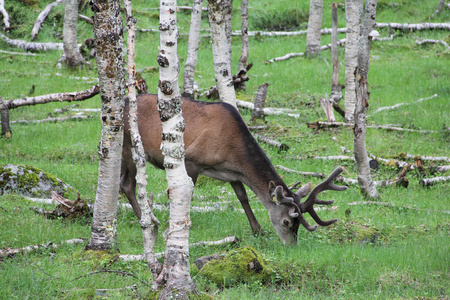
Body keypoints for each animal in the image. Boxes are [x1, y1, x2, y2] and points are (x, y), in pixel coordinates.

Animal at [120, 94, 348, 246]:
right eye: (286, 221)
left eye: (298, 224)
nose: (291, 245)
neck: (231, 150)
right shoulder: (192, 160)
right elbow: (186, 195)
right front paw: (172, 228)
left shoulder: (233, 173)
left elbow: (243, 197)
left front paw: (258, 230)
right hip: (129, 145)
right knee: (127, 184)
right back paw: (147, 220)